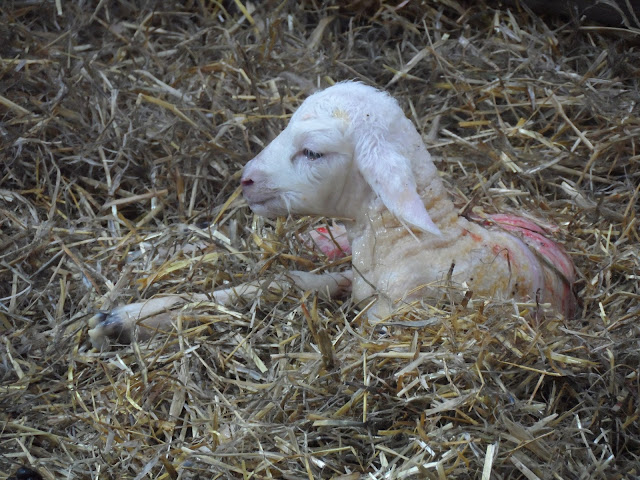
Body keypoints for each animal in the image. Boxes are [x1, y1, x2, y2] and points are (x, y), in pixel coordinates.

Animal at [86, 80, 576, 346]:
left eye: (313, 152)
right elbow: (280, 283)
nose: (246, 180)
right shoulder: (348, 278)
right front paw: (125, 318)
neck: (414, 243)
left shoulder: (386, 314)